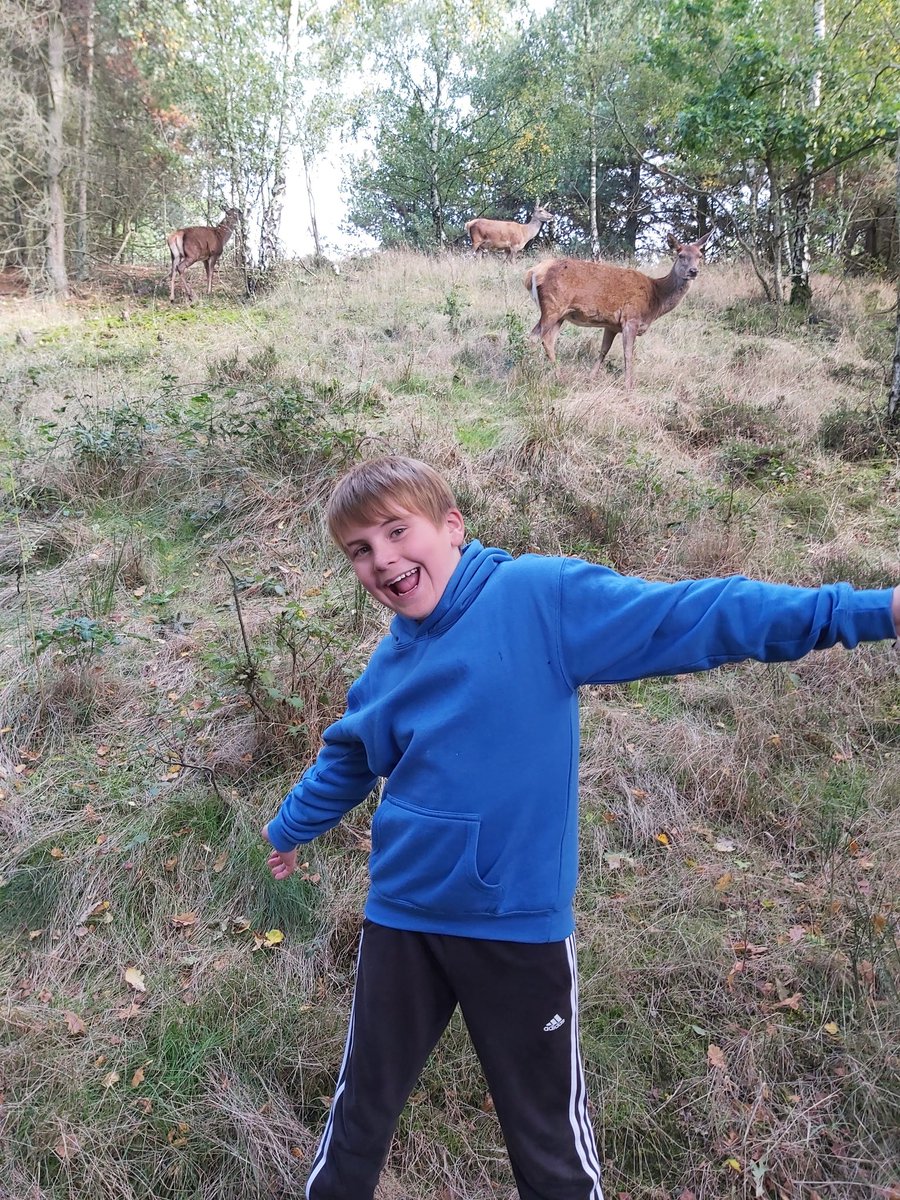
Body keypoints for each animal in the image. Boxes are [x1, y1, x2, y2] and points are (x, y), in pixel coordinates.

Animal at [523, 231, 712, 390]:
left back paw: (558, 376)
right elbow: (628, 354)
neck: (656, 298)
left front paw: (591, 378)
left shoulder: (611, 325)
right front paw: (629, 386)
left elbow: (603, 350)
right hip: (553, 305)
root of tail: (533, 272)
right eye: (681, 255)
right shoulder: (631, 318)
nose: (693, 271)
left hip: (562, 314)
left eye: (700, 256)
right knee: (534, 336)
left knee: (547, 340)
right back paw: (529, 371)